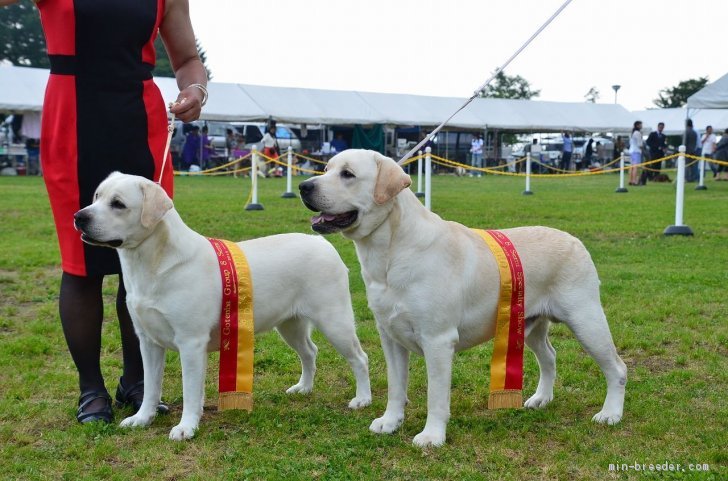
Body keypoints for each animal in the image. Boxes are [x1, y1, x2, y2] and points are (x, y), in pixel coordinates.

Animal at [75, 172, 370, 438]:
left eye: (118, 204)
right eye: (97, 196)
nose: (79, 217)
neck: (153, 263)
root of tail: (322, 242)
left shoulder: (190, 342)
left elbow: (190, 391)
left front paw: (186, 427)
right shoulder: (148, 341)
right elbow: (150, 387)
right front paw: (142, 418)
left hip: (334, 321)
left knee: (359, 358)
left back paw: (362, 399)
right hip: (290, 325)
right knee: (310, 352)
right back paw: (303, 388)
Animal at [298, 149, 628, 446]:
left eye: (348, 174)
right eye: (325, 168)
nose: (304, 186)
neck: (391, 252)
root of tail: (575, 239)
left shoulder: (438, 340)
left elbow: (435, 396)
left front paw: (432, 436)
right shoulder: (390, 336)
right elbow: (395, 388)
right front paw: (390, 422)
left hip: (586, 320)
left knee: (617, 368)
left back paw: (610, 414)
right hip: (529, 325)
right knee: (550, 356)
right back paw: (541, 399)